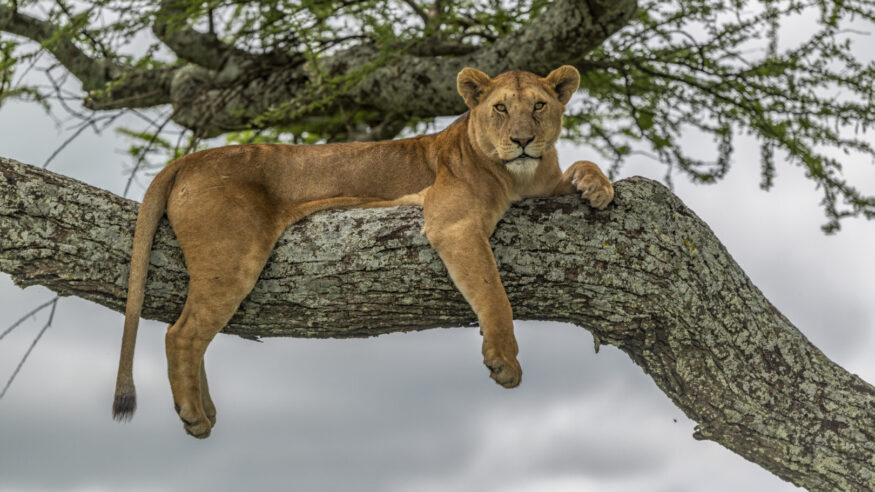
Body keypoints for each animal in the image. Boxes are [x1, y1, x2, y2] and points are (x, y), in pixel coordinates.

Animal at [112, 65, 614, 438]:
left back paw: (204, 408)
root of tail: (189, 159)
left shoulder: (542, 185)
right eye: (501, 108)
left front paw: (598, 187)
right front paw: (504, 361)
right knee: (182, 333)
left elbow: (581, 163)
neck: (519, 177)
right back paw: (194, 415)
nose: (523, 140)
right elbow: (493, 293)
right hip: (231, 257)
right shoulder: (451, 222)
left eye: (539, 105)